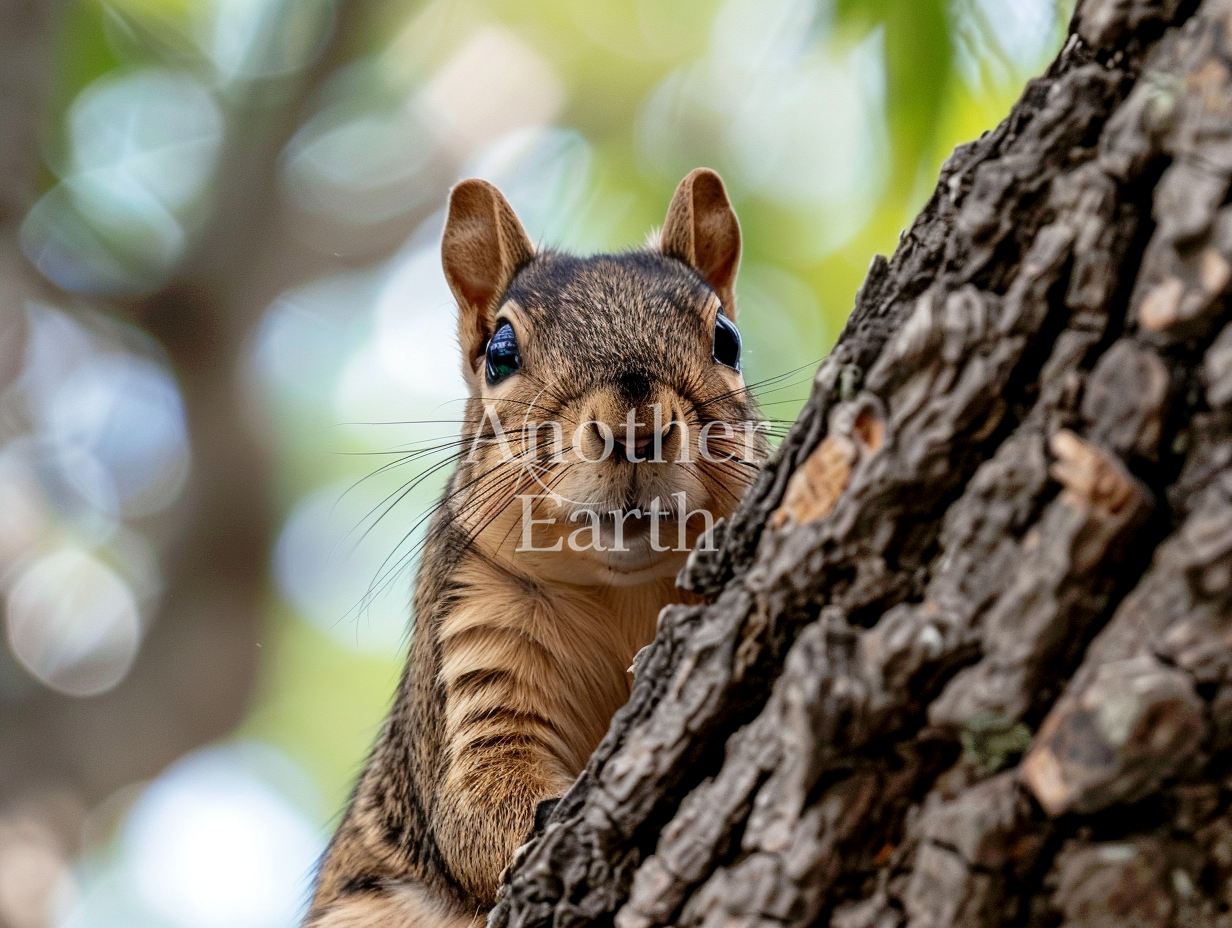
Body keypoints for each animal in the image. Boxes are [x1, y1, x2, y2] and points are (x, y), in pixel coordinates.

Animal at [305, 168, 768, 926]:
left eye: (726, 340)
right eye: (500, 353)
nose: (634, 426)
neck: (623, 588)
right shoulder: (476, 624)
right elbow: (475, 806)